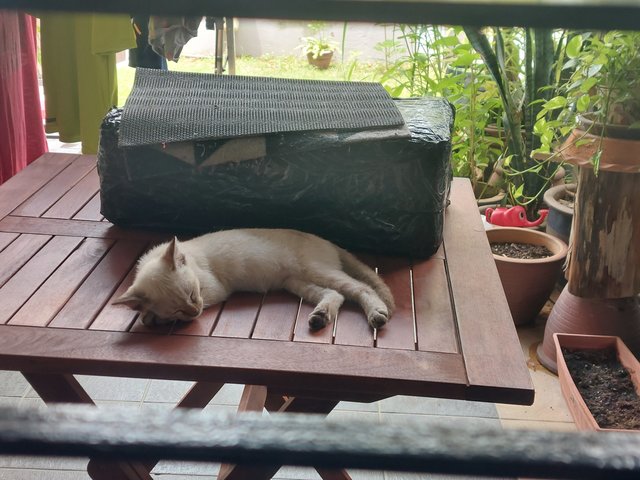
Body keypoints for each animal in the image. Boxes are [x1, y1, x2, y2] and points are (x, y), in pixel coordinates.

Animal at [115, 229, 396, 330]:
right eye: (177, 308)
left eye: (193, 296)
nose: (194, 312)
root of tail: (328, 241)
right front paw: (147, 315)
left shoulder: (213, 290)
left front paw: (151, 318)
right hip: (297, 282)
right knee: (335, 295)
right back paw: (320, 317)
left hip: (317, 271)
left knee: (361, 288)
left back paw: (377, 315)